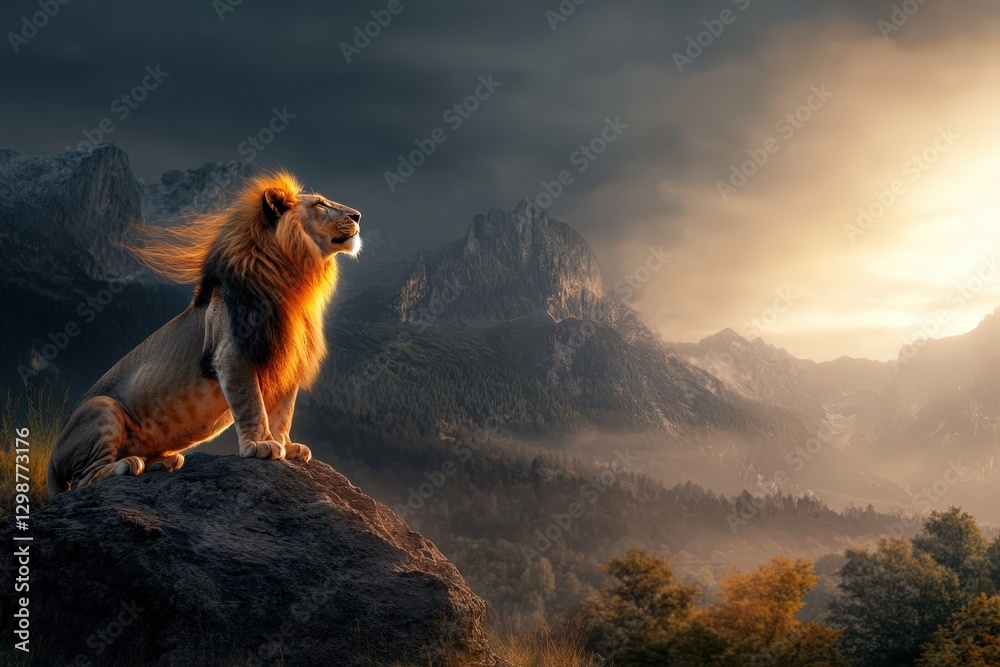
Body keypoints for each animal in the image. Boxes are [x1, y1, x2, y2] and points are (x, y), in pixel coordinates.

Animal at [47, 171, 361, 495]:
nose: (358, 215)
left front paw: (287, 445)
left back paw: (162, 462)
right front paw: (261, 445)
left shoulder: (288, 359)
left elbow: (283, 412)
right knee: (84, 479)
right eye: (320, 204)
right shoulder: (231, 353)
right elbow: (252, 404)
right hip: (102, 407)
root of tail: (53, 456)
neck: (296, 283)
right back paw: (129, 465)